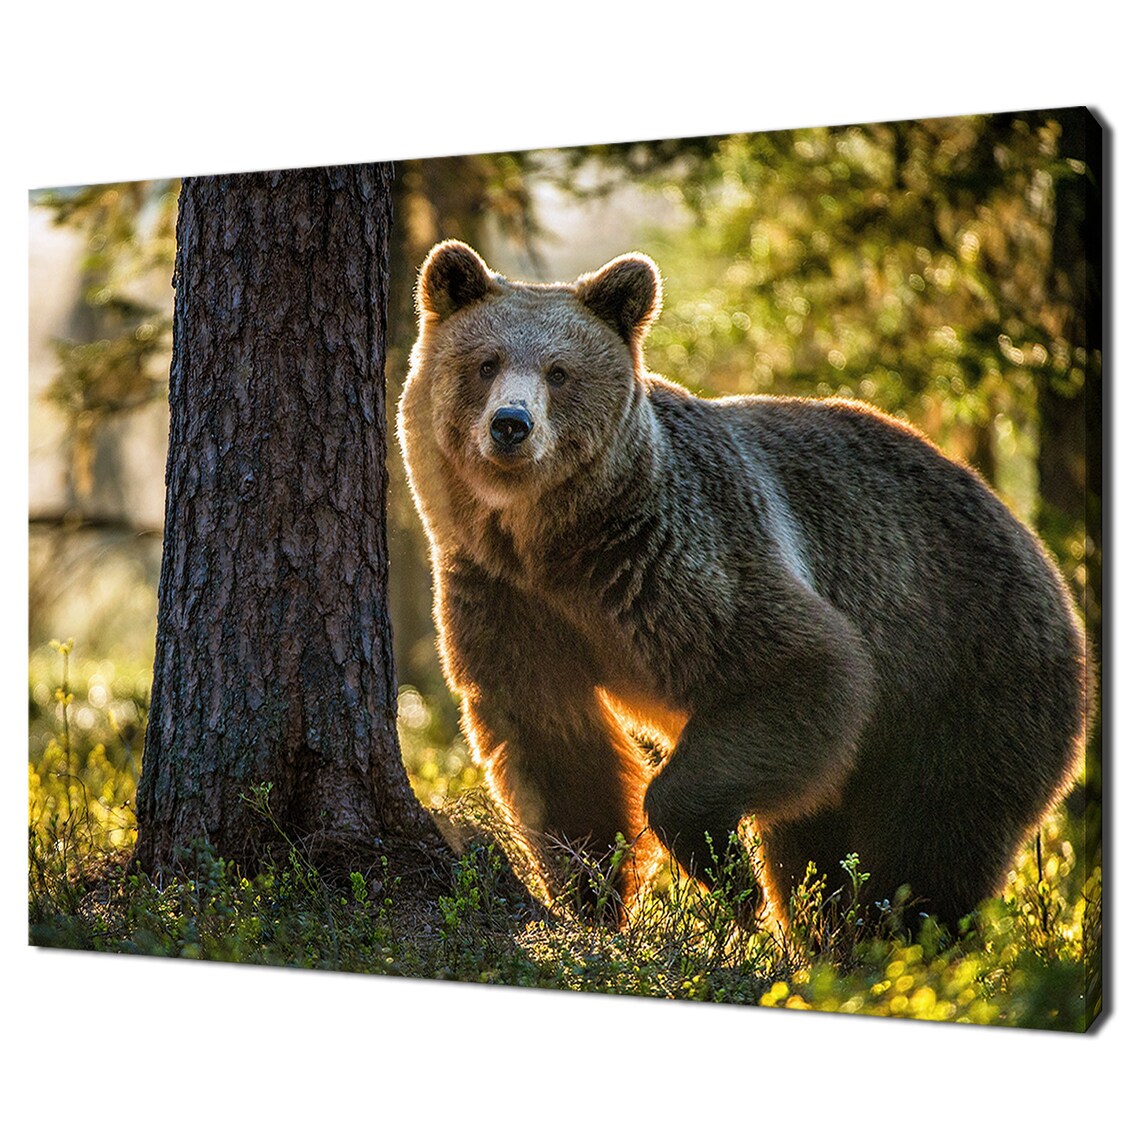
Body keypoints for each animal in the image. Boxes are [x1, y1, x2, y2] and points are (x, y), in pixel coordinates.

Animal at [397, 239, 1088, 935]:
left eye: (559, 372)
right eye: (486, 363)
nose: (511, 424)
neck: (556, 543)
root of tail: (1039, 551)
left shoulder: (675, 561)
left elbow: (801, 667)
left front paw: (729, 882)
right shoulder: (506, 596)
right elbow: (552, 744)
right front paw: (594, 896)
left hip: (963, 680)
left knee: (927, 847)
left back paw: (892, 935)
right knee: (819, 851)